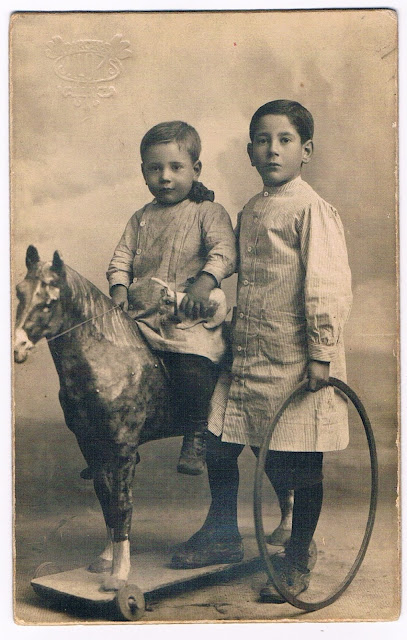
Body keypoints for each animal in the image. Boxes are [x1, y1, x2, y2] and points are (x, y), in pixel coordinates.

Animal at [14, 245, 293, 591]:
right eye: (19, 292)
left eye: (49, 300)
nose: (18, 346)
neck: (109, 359)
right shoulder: (91, 446)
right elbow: (106, 499)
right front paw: (107, 559)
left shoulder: (122, 447)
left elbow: (121, 504)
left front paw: (119, 575)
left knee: (285, 474)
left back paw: (284, 534)